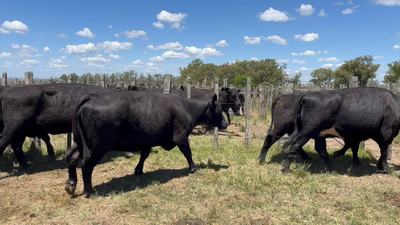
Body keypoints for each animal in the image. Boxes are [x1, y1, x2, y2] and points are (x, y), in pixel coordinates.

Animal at [65, 90, 228, 196]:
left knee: (71, 157)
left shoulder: (147, 140)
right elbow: (188, 152)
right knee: (86, 164)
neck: (187, 107)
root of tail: (92, 96)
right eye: (219, 109)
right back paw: (90, 190)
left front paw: (138, 171)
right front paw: (193, 168)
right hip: (96, 147)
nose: (226, 124)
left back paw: (71, 184)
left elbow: (144, 156)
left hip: (80, 142)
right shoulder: (180, 136)